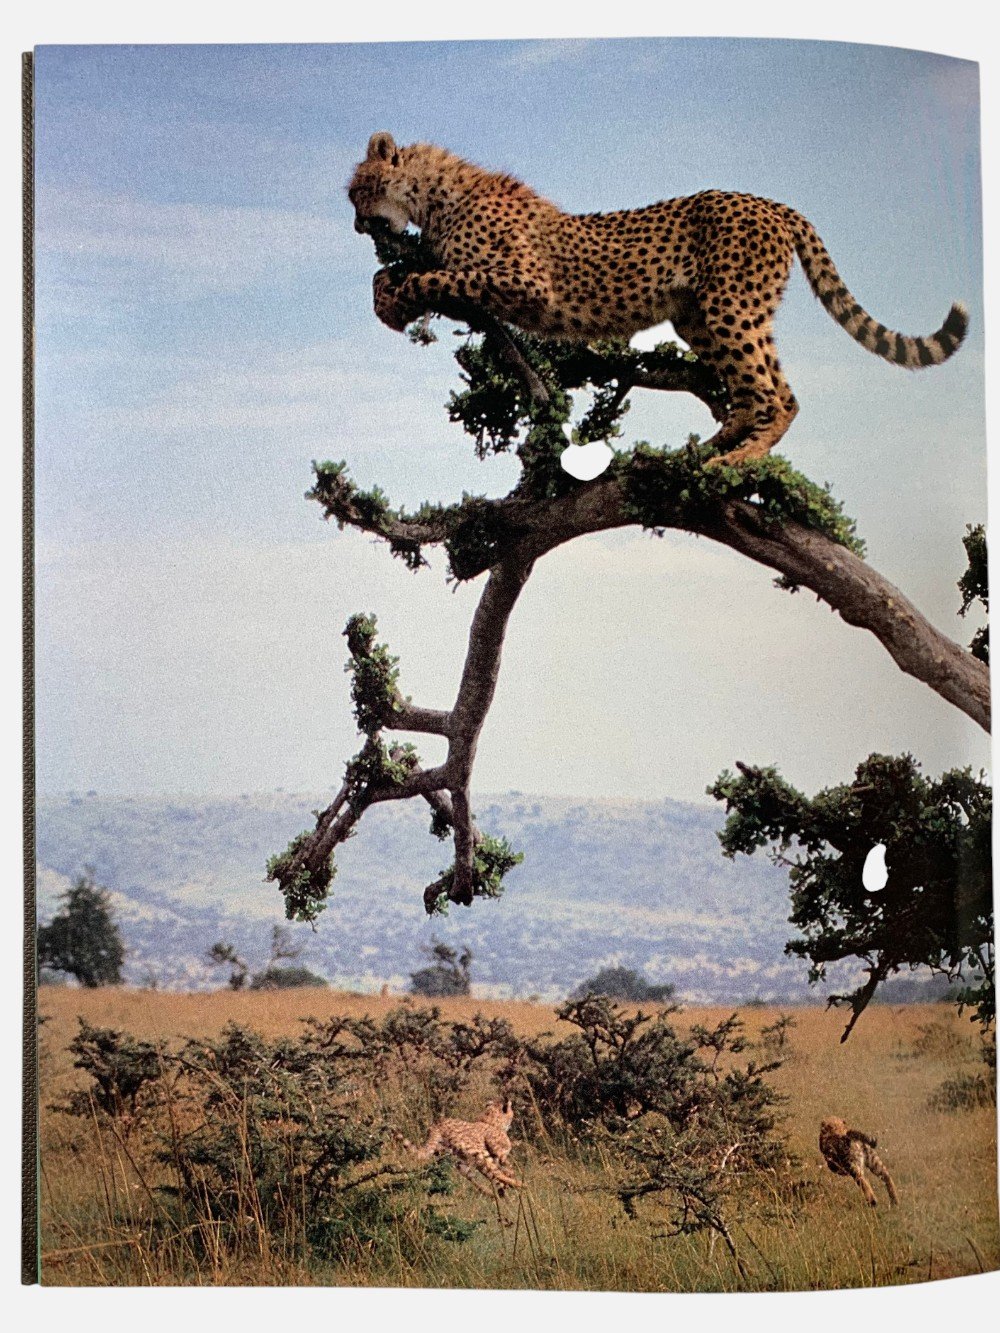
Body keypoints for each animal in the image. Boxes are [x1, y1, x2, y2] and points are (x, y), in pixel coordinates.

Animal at [348, 132, 968, 467]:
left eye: (356, 191)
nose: (357, 226)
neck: (433, 196)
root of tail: (773, 203)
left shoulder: (525, 282)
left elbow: (438, 278)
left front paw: (397, 301)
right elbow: (410, 272)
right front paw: (383, 291)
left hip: (728, 307)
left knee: (772, 395)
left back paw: (736, 461)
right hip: (710, 316)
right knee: (772, 389)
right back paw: (713, 445)